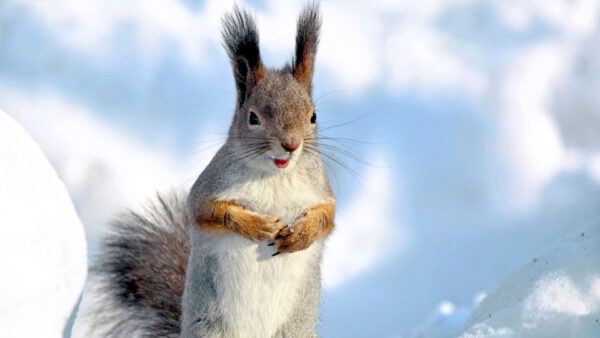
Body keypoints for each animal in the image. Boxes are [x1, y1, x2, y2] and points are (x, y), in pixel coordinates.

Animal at [72, 3, 336, 338]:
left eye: (313, 116)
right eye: (253, 118)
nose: (290, 145)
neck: (275, 175)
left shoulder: (320, 188)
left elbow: (327, 217)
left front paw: (301, 234)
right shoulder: (208, 187)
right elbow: (209, 211)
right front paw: (256, 225)